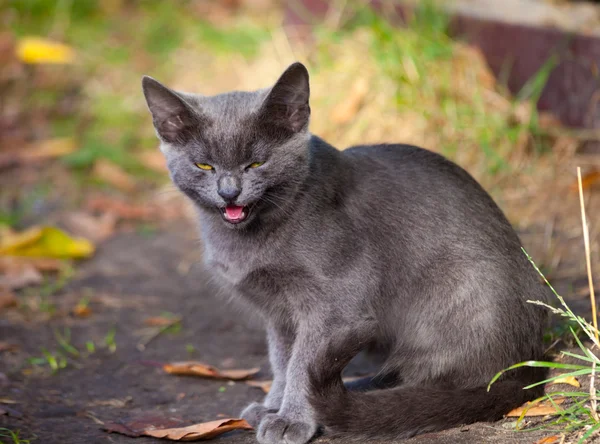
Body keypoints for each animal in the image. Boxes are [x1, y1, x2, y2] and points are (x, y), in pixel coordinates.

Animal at [141, 62, 548, 444]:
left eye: (256, 163)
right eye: (204, 165)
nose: (229, 193)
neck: (251, 239)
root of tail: (528, 370)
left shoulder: (337, 303)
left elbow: (302, 363)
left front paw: (290, 420)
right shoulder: (277, 312)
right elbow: (281, 358)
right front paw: (274, 405)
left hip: (454, 293)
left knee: (439, 383)